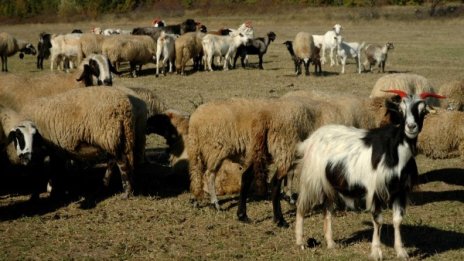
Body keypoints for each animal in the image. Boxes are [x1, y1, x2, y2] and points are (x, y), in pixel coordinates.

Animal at [296, 89, 444, 258]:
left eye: (423, 111)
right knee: (301, 206)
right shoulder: (375, 190)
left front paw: (401, 252)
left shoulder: (400, 191)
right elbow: (378, 220)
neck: (395, 152)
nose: (411, 127)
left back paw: (331, 243)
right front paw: (376, 252)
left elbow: (397, 220)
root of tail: (311, 139)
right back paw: (300, 242)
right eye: (401, 110)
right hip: (311, 179)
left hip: (329, 184)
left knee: (327, 210)